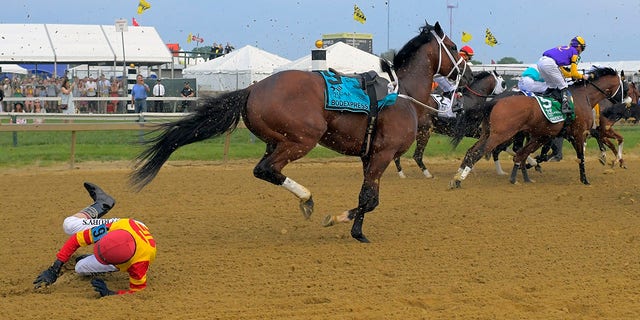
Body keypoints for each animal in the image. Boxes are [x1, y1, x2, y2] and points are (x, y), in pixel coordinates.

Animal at [130, 21, 470, 242]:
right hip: (303, 139)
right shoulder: (382, 154)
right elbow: (369, 199)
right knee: (267, 169)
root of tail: (253, 88)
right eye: (454, 48)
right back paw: (306, 198)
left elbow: (368, 197)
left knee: (265, 169)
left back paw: (304, 198)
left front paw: (356, 229)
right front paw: (340, 221)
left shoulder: (369, 155)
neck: (402, 94)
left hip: (276, 140)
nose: (467, 74)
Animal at [448, 66, 624, 189]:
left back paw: (459, 175)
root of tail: (495, 101)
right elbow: (580, 156)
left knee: (472, 151)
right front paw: (586, 179)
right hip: (500, 134)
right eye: (626, 86)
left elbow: (526, 153)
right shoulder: (578, 133)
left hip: (488, 133)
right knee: (479, 153)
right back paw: (459, 179)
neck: (583, 97)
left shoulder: (549, 135)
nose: (623, 105)